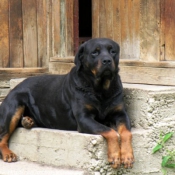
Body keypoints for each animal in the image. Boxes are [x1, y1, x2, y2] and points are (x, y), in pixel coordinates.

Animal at [0, 38, 133, 168]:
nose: (107, 60)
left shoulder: (120, 114)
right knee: (3, 136)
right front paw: (115, 156)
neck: (101, 90)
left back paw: (27, 121)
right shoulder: (84, 119)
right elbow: (110, 131)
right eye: (95, 52)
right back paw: (8, 153)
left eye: (113, 51)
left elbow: (126, 132)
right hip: (14, 106)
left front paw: (127, 156)